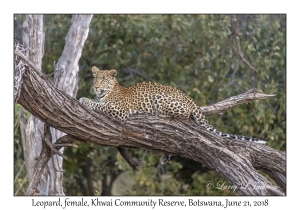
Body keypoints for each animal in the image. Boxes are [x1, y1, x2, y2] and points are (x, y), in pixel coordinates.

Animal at [79, 65, 264, 166]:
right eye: (95, 79)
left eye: (103, 80)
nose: (96, 87)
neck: (108, 91)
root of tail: (188, 97)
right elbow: (98, 102)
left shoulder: (118, 110)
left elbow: (98, 105)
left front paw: (83, 99)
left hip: (162, 99)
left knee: (185, 115)